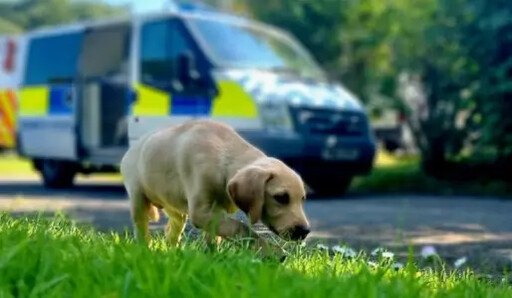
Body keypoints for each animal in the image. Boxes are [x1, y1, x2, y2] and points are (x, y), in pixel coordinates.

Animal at [121, 119, 308, 254]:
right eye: (281, 198)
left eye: (302, 199)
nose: (305, 231)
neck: (224, 158)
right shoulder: (201, 212)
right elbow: (240, 227)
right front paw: (271, 251)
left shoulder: (216, 211)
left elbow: (215, 235)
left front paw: (213, 256)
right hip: (138, 198)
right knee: (141, 227)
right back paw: (144, 250)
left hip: (174, 206)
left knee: (172, 228)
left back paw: (173, 252)